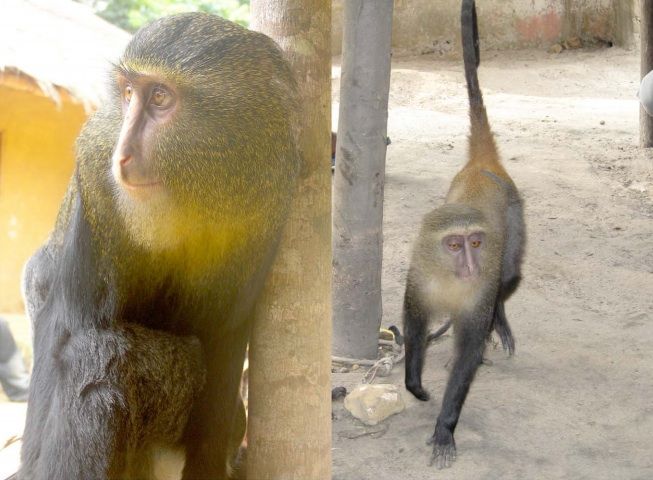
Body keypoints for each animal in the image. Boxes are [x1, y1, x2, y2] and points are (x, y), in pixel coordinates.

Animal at [17, 12, 298, 480]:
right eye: (130, 94)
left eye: (161, 98)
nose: (122, 155)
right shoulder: (93, 173)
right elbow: (67, 329)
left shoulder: (268, 208)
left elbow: (225, 339)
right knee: (98, 351)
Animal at [402, 0, 524, 466]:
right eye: (454, 245)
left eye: (475, 242)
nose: (471, 264)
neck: (452, 280)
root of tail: (480, 166)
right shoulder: (418, 276)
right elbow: (414, 323)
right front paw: (414, 383)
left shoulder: (479, 290)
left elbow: (467, 356)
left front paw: (444, 428)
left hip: (515, 213)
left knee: (509, 277)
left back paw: (499, 320)